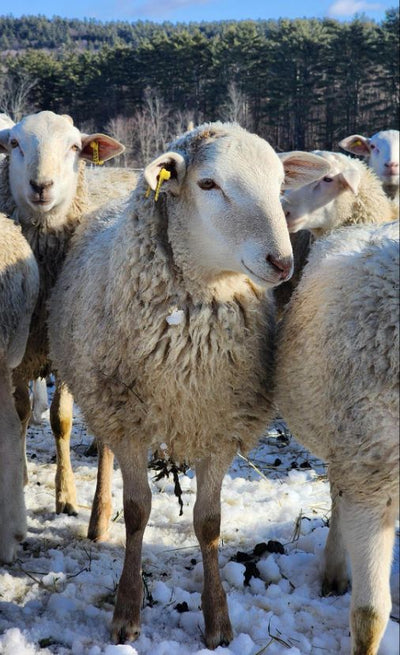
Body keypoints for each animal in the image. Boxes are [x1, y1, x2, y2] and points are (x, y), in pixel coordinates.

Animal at [0, 110, 124, 516]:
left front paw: (66, 494)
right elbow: (21, 412)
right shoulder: (20, 349)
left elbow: (61, 420)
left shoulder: (64, 346)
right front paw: (21, 475)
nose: (41, 185)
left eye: (73, 147)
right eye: (15, 144)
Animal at [48, 121, 331, 647]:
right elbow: (137, 511)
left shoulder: (220, 423)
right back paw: (98, 518)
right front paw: (126, 612)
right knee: (105, 454)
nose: (281, 262)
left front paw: (218, 621)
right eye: (208, 184)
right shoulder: (129, 420)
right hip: (105, 397)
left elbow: (209, 523)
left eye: (280, 183)